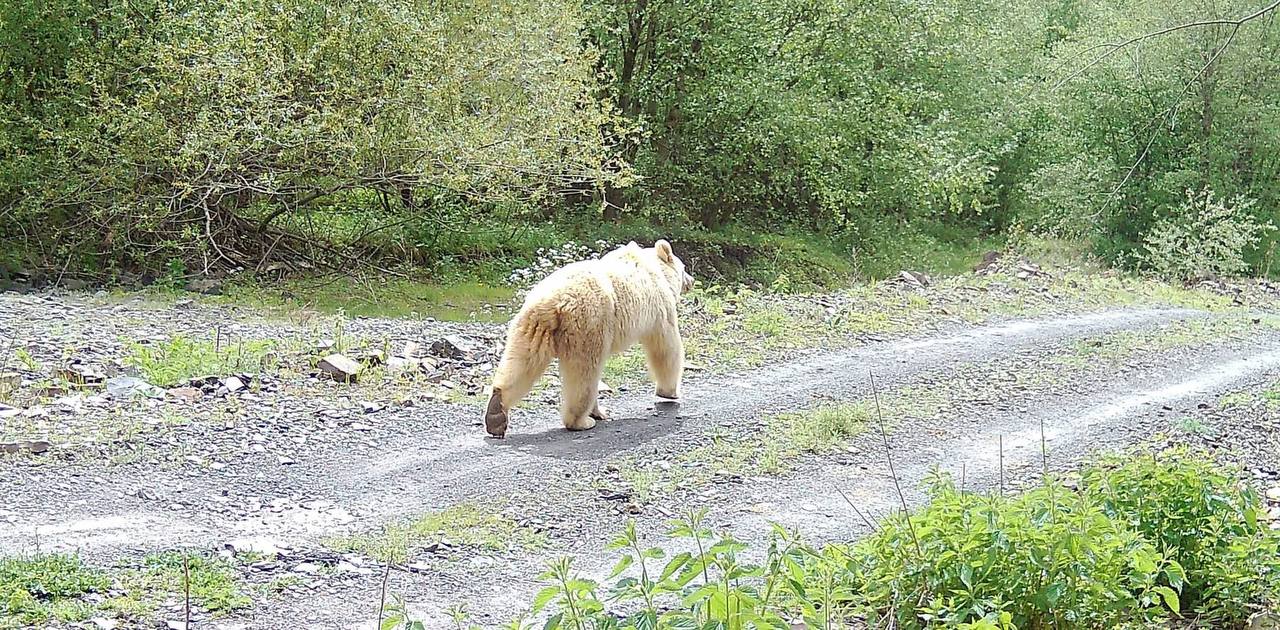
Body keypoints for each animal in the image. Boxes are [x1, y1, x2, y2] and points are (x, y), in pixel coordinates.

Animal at [484, 239, 695, 437]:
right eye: (684, 267)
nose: (691, 280)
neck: (655, 269)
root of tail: (552, 301)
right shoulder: (660, 308)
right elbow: (666, 347)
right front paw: (670, 392)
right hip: (589, 325)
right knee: (584, 373)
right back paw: (582, 421)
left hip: (531, 329)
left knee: (522, 362)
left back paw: (496, 412)